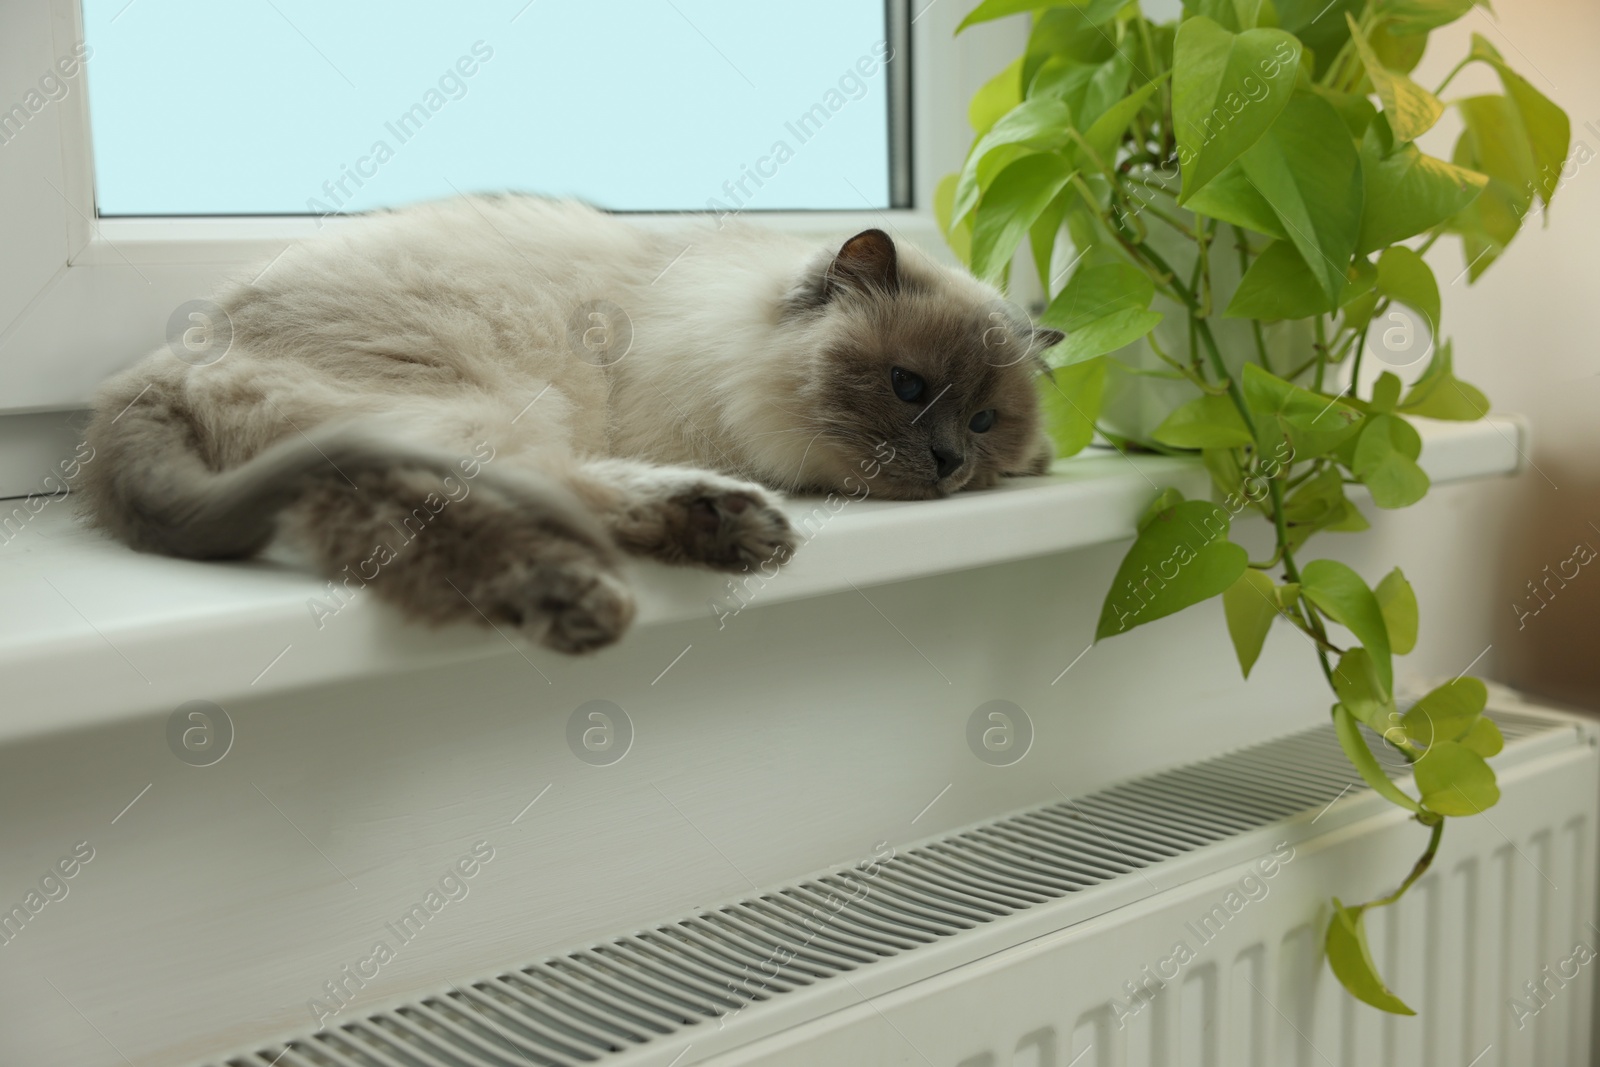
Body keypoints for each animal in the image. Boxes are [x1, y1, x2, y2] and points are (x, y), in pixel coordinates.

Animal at [84, 195, 1062, 655]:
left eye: (984, 420)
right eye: (907, 385)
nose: (948, 461)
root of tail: (160, 362)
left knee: (405, 528)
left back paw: (705, 537)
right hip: (484, 410)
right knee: (526, 491)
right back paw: (636, 575)